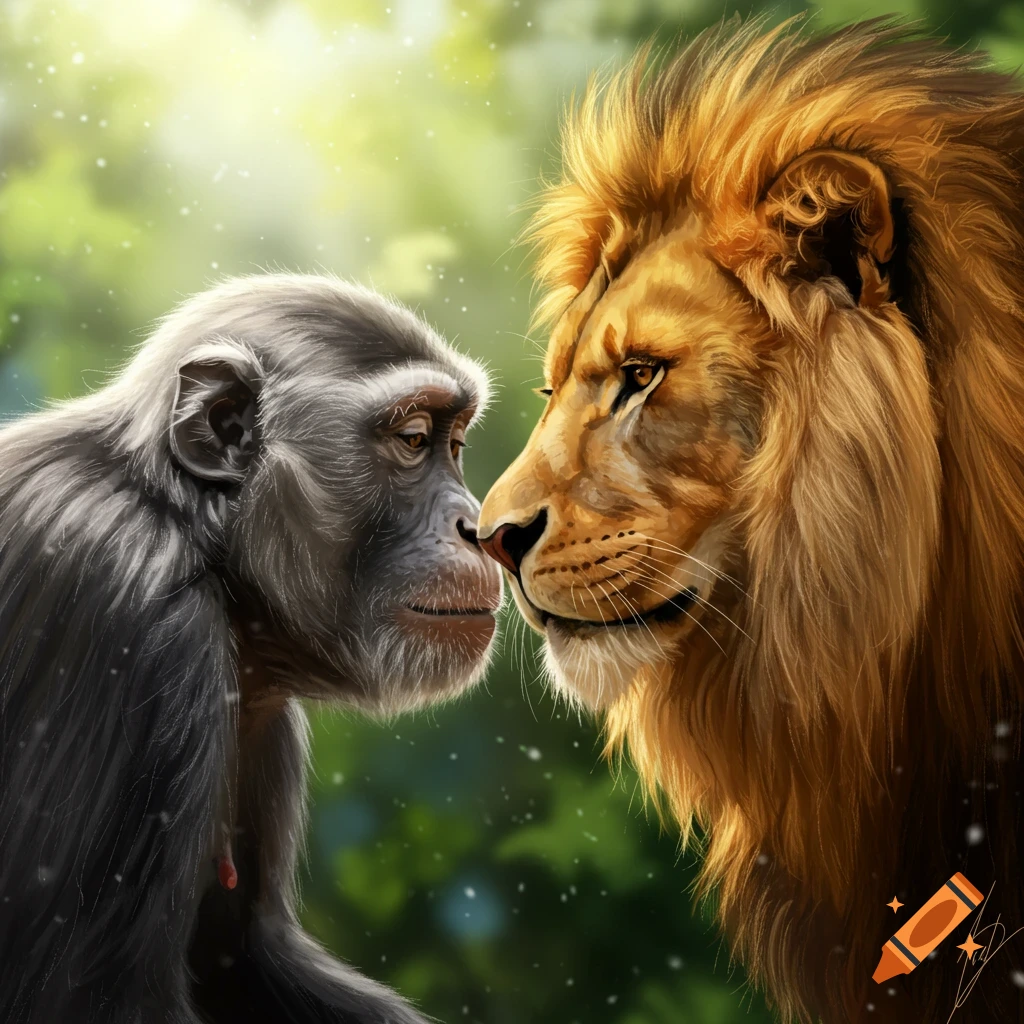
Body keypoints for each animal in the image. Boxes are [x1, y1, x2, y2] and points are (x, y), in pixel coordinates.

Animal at [0, 273, 503, 1024]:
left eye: (456, 445)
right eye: (414, 439)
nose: (476, 525)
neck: (195, 527)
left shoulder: (261, 719)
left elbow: (242, 956)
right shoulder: (124, 620)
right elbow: (83, 996)